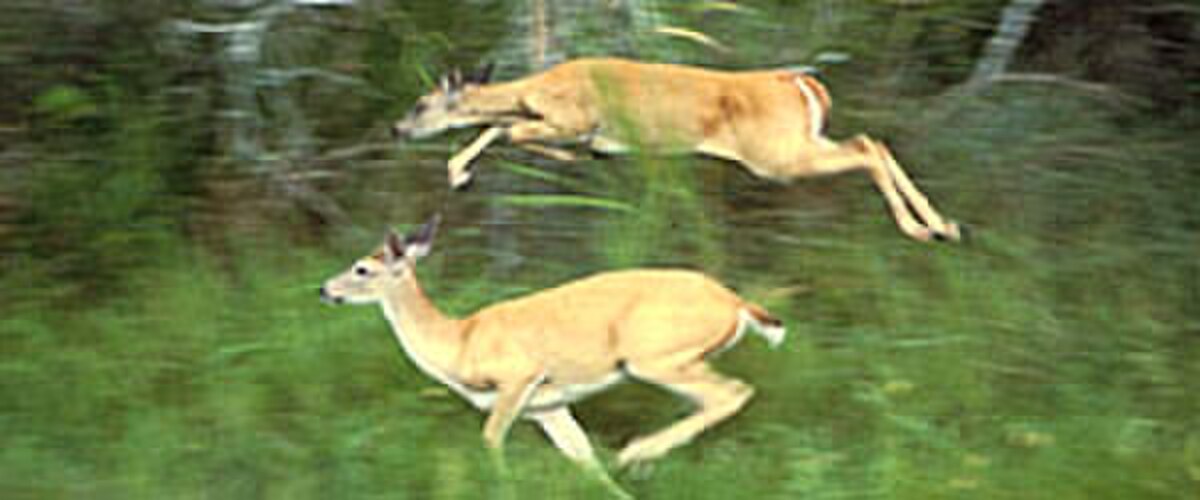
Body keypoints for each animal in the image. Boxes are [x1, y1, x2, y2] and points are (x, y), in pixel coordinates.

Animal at [318, 214, 785, 498]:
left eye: (362, 269)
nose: (324, 289)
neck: (459, 342)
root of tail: (736, 303)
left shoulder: (519, 376)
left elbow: (491, 438)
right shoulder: (548, 404)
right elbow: (582, 457)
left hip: (654, 356)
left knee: (731, 392)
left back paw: (635, 452)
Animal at [392, 57, 962, 243]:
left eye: (420, 104)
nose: (397, 128)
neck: (538, 88)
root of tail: (801, 83)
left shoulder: (574, 116)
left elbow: (508, 131)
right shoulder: (562, 123)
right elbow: (501, 130)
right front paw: (458, 174)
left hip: (776, 157)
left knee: (867, 149)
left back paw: (921, 229)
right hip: (800, 140)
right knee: (873, 141)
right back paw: (945, 226)